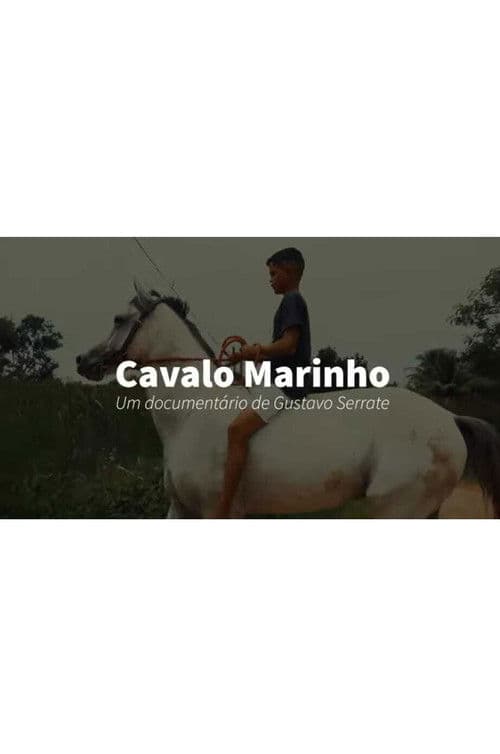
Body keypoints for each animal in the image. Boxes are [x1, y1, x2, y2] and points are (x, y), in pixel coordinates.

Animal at [76, 283, 500, 518]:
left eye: (117, 319)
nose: (83, 361)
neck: (192, 415)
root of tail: (450, 419)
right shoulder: (179, 510)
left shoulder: (215, 511)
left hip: (396, 508)